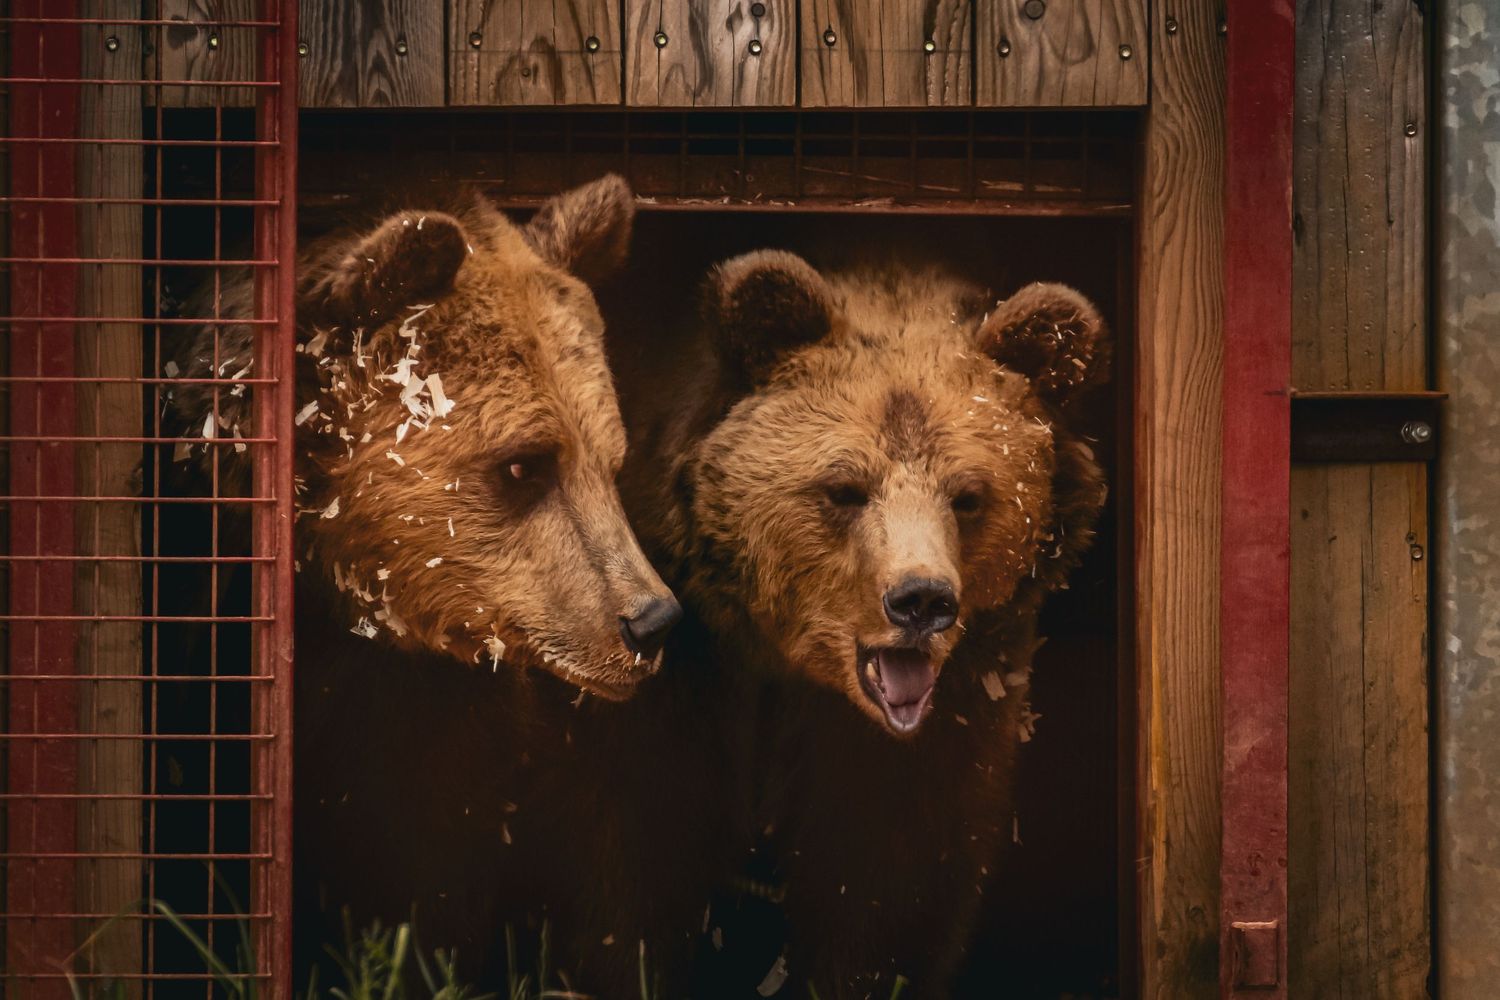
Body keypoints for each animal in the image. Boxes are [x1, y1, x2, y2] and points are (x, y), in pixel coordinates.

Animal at [611, 250, 1110, 997]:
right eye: (843, 488)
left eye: (968, 496)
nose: (921, 601)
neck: (782, 662)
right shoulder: (674, 660)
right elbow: (635, 837)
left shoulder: (946, 712)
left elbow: (887, 869)